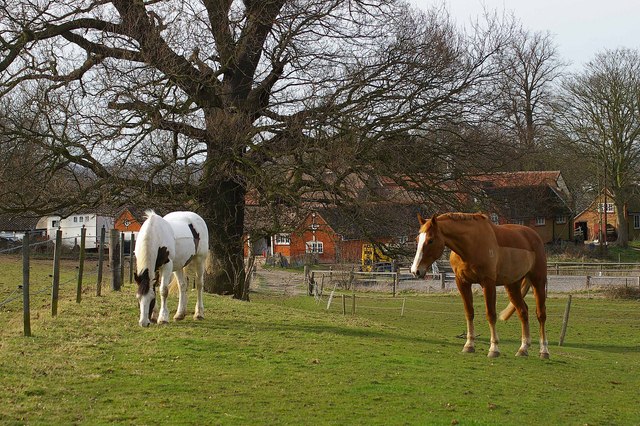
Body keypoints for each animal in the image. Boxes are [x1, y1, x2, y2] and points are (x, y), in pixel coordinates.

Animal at [410, 212, 552, 356]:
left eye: (430, 240)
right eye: (417, 239)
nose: (415, 271)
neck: (471, 245)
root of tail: (534, 236)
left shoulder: (488, 283)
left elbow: (491, 315)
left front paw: (494, 349)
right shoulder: (462, 283)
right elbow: (469, 312)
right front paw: (469, 345)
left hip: (538, 281)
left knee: (541, 314)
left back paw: (544, 351)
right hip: (512, 285)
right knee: (523, 311)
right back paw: (523, 348)